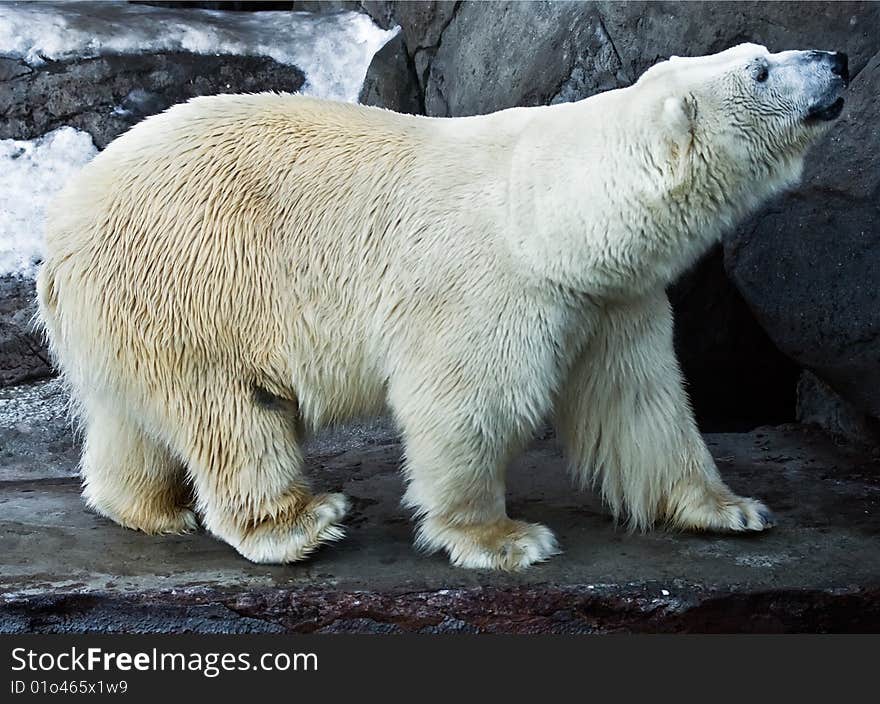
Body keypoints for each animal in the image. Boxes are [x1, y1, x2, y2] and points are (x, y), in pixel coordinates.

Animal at [37, 44, 848, 568]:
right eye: (762, 69)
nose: (839, 59)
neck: (548, 216)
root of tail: (64, 219)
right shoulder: (488, 286)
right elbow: (469, 403)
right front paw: (504, 538)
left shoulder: (612, 299)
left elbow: (640, 402)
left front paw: (731, 509)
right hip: (196, 282)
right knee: (234, 410)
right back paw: (301, 522)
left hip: (131, 308)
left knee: (133, 416)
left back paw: (149, 507)